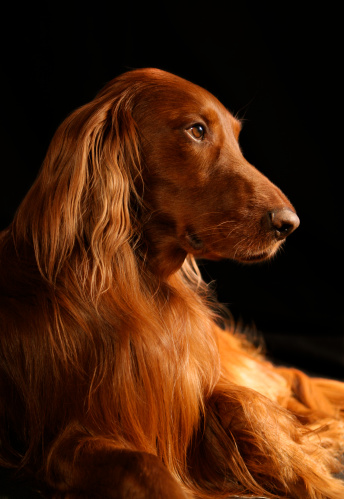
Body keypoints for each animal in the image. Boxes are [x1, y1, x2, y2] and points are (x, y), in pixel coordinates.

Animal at [0, 67, 342, 499]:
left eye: (235, 137)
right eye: (196, 130)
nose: (288, 224)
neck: (135, 281)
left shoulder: (198, 384)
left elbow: (242, 406)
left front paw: (310, 469)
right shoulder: (64, 442)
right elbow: (147, 467)